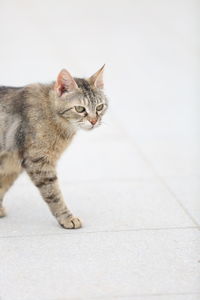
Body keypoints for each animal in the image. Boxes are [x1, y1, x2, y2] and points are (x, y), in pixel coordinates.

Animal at [0, 65, 108, 229]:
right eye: (80, 109)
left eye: (100, 107)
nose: (94, 121)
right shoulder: (38, 162)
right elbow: (53, 194)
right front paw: (67, 218)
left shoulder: (12, 164)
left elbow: (2, 186)